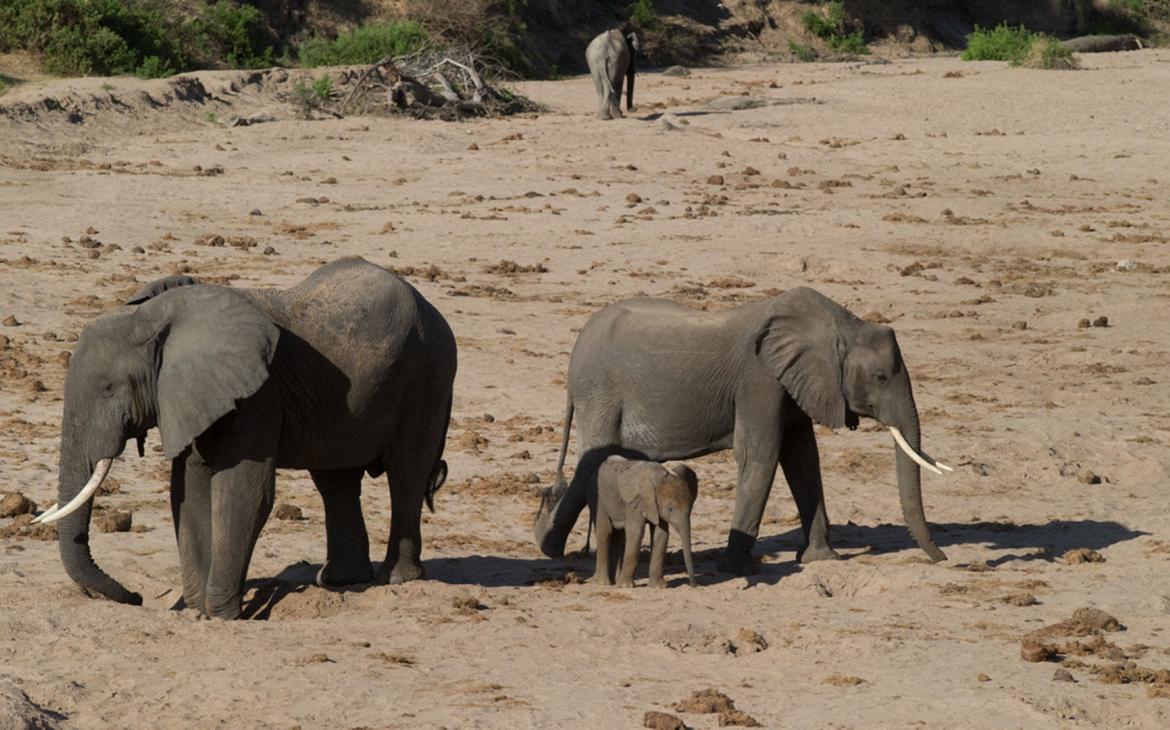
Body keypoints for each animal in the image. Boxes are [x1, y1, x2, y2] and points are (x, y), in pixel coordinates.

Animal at [37, 256, 456, 617]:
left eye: (108, 388)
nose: (136, 596)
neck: (157, 316)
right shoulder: (194, 395)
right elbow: (188, 490)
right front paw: (198, 612)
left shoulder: (258, 395)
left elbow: (244, 491)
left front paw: (223, 615)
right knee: (336, 480)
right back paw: (341, 582)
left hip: (429, 374)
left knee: (406, 474)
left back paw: (397, 579)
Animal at [589, 456, 697, 587]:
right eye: (670, 509)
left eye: (690, 508)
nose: (694, 585)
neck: (658, 479)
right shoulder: (634, 502)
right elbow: (635, 532)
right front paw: (626, 586)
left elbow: (660, 534)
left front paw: (658, 587)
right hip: (597, 497)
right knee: (605, 531)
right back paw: (603, 583)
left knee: (619, 535)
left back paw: (614, 581)